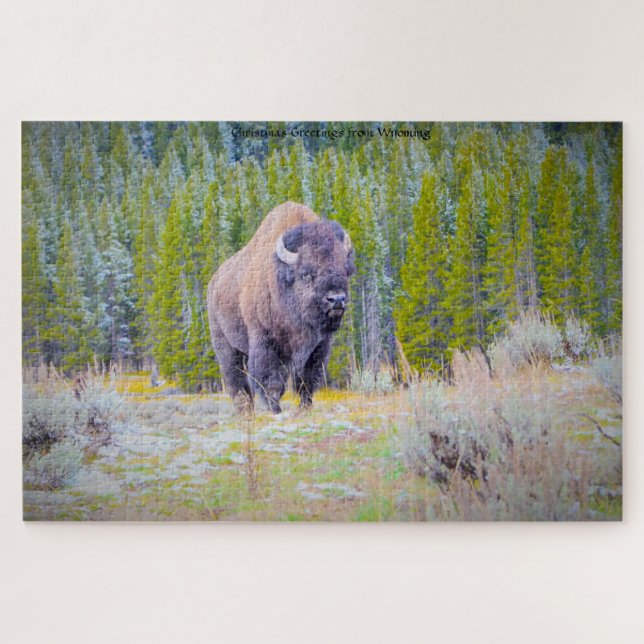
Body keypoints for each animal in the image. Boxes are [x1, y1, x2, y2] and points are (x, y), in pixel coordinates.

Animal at [207, 202, 355, 413]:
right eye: (306, 274)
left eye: (345, 269)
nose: (336, 299)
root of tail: (213, 283)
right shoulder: (266, 343)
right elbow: (271, 382)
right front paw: (275, 410)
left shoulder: (318, 347)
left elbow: (307, 380)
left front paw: (305, 408)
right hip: (225, 344)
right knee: (236, 379)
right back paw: (245, 410)